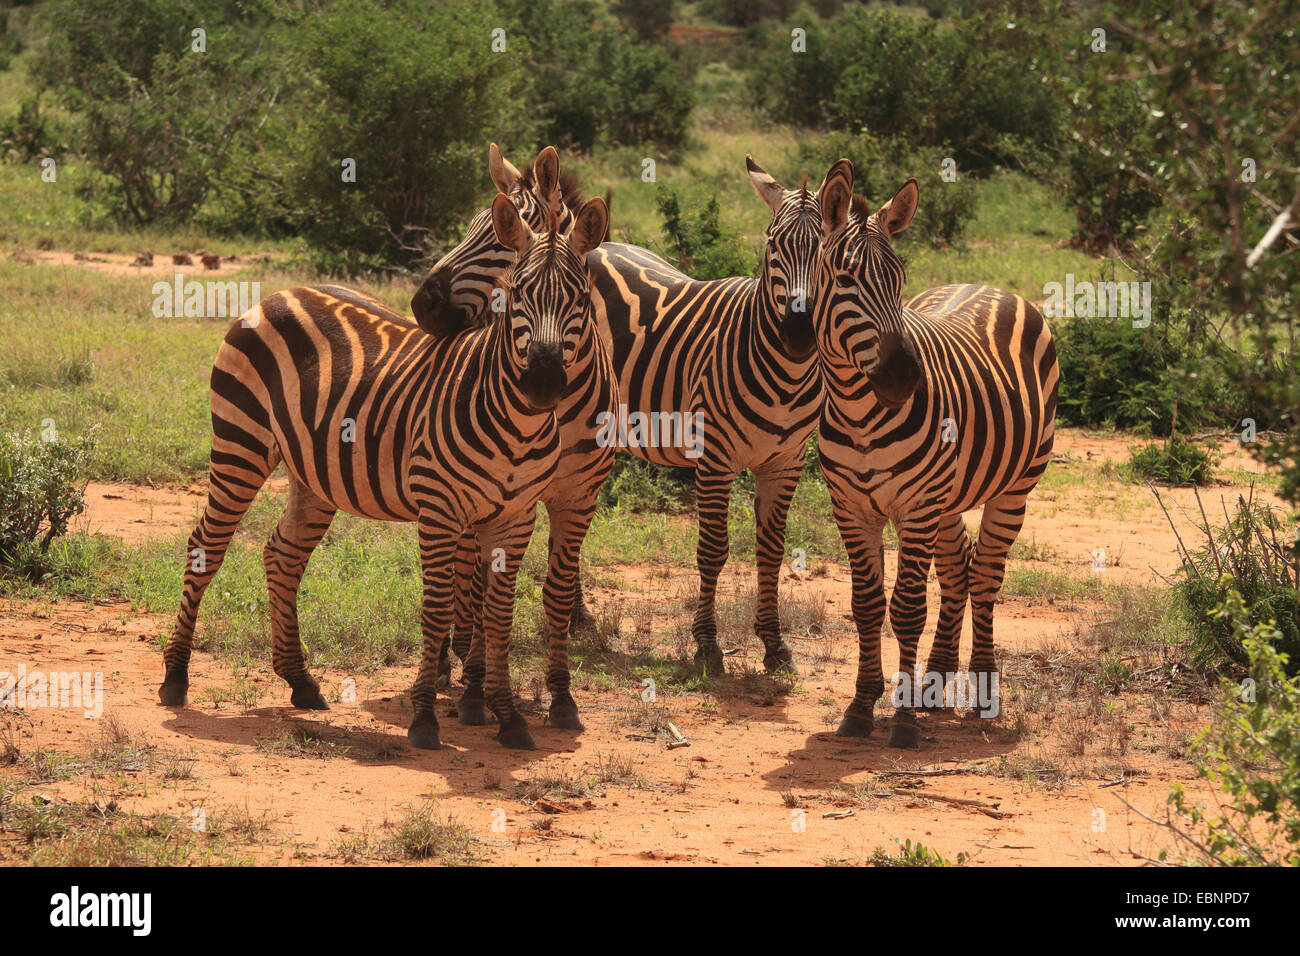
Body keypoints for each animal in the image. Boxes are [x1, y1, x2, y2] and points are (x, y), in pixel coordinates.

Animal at [157, 191, 608, 749]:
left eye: (581, 298)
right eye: (518, 293)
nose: (543, 382)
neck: (518, 424)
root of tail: (278, 293)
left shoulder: (516, 516)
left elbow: (498, 616)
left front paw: (509, 718)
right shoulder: (439, 509)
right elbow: (438, 608)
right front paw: (425, 717)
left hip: (314, 472)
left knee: (283, 555)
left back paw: (300, 681)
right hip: (241, 442)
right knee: (205, 547)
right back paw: (176, 676)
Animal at [416, 141, 618, 728]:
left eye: (498, 239)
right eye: (472, 227)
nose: (421, 305)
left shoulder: (578, 495)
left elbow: (555, 591)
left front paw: (562, 696)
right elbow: (479, 590)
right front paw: (475, 687)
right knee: (459, 576)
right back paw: (451, 662)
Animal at [418, 157, 852, 676]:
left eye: (826, 253)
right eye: (771, 245)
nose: (423, 305)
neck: (781, 365)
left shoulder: (785, 463)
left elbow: (771, 550)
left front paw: (774, 643)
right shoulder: (714, 458)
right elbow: (714, 550)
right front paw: (708, 645)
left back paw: (575, 617)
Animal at [816, 164, 1060, 749]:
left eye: (900, 278)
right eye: (844, 278)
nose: (905, 378)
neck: (859, 413)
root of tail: (989, 285)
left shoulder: (916, 505)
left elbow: (906, 609)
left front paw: (902, 721)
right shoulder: (851, 507)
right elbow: (865, 605)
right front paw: (862, 706)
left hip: (1013, 488)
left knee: (987, 574)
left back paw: (984, 689)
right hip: (948, 498)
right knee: (959, 571)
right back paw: (935, 679)